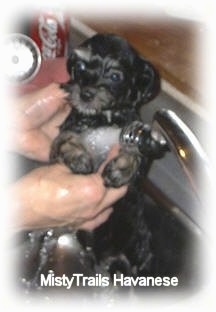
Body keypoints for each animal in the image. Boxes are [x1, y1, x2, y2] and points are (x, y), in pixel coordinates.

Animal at [50, 33, 159, 278]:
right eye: (80, 66)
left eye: (115, 76)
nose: (85, 93)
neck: (102, 118)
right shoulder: (66, 132)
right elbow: (66, 138)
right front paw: (78, 156)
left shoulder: (136, 140)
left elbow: (136, 153)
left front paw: (121, 168)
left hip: (138, 245)